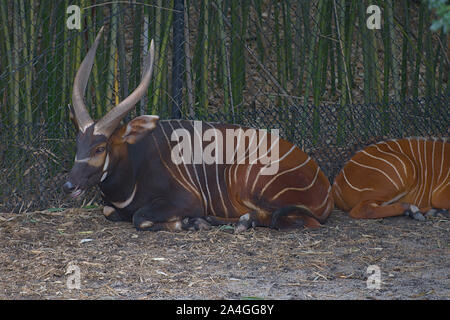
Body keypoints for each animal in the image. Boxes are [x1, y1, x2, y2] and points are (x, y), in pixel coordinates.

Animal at [62, 27, 334, 231]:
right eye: (78, 144)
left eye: (100, 148)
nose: (69, 185)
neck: (134, 169)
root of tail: (325, 187)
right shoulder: (112, 206)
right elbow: (109, 210)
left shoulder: (187, 199)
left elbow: (140, 218)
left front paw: (189, 223)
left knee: (296, 220)